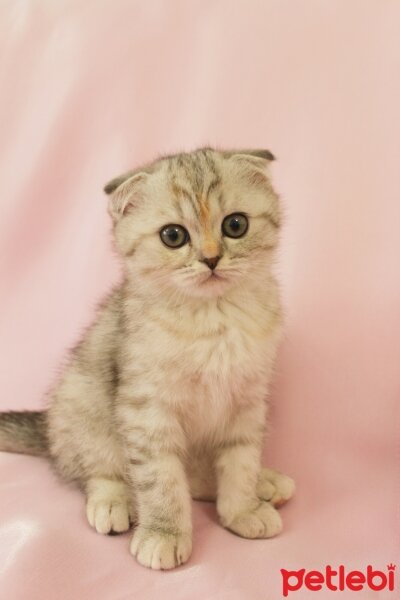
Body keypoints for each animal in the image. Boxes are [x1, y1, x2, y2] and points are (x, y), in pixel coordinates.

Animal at [0, 148, 296, 568]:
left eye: (235, 225)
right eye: (173, 236)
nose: (211, 259)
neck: (213, 319)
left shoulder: (248, 400)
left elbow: (240, 460)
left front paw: (243, 509)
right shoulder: (146, 410)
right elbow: (162, 479)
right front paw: (164, 534)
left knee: (201, 476)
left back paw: (264, 483)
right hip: (81, 399)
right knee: (96, 469)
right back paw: (113, 502)